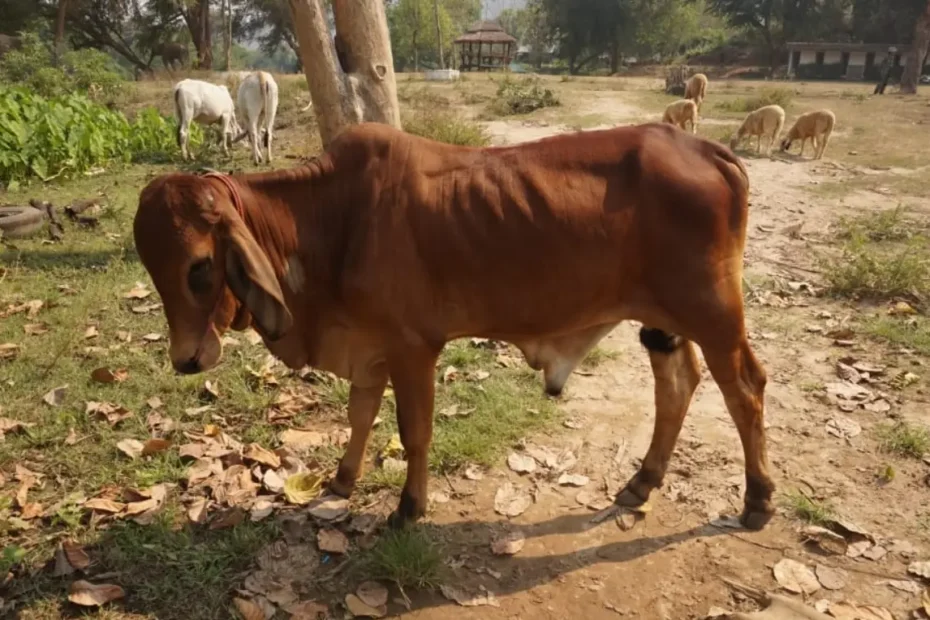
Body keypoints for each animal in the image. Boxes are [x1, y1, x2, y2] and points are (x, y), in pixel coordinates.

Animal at [129, 123, 768, 532]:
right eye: (152, 268)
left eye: (199, 268)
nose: (186, 359)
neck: (332, 218)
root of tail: (709, 149)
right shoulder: (370, 346)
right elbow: (360, 414)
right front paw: (341, 481)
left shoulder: (413, 348)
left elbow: (414, 433)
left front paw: (408, 509)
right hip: (664, 320)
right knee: (677, 384)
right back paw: (642, 481)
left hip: (713, 313)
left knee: (745, 390)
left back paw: (758, 501)